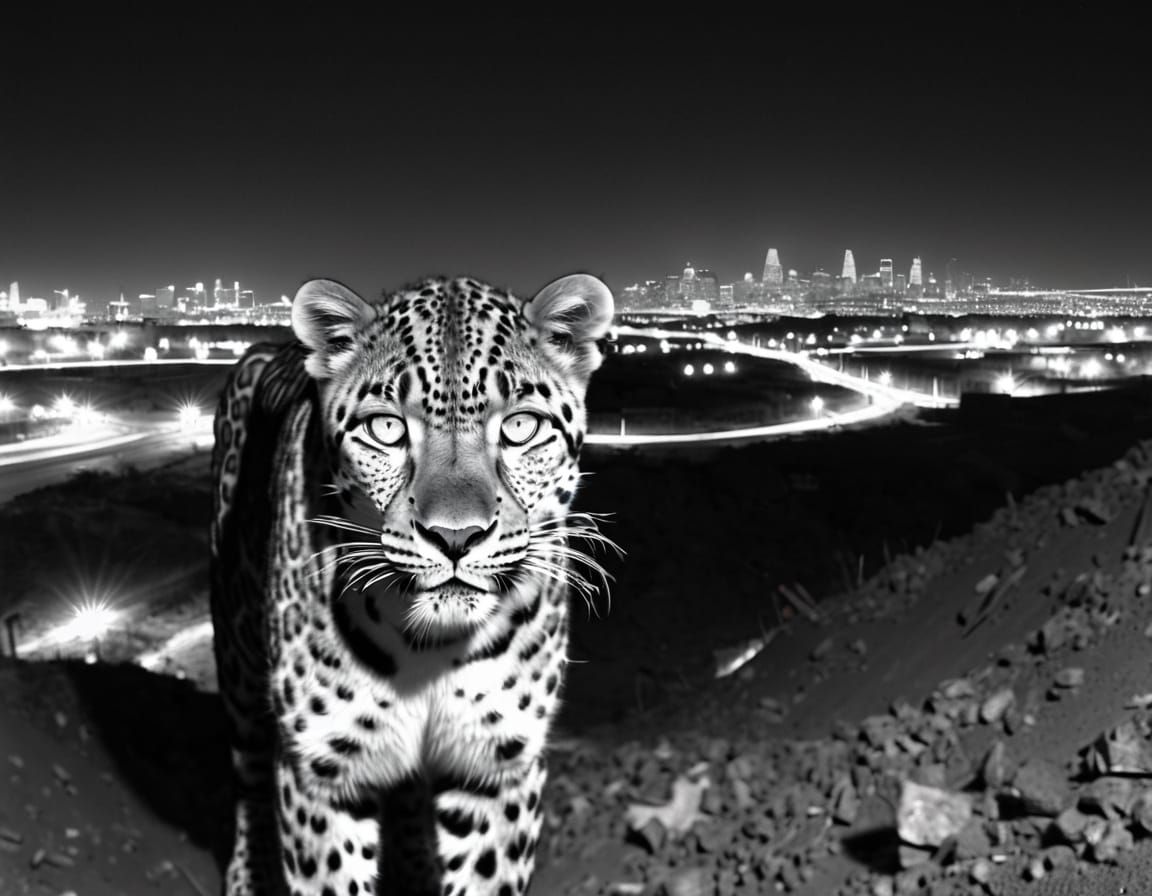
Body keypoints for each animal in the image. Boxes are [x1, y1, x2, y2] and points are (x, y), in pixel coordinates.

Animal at [209, 273, 615, 895]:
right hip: (238, 665)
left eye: (521, 426)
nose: (456, 537)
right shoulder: (320, 770)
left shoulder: (498, 767)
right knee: (249, 781)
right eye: (386, 428)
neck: (429, 648)